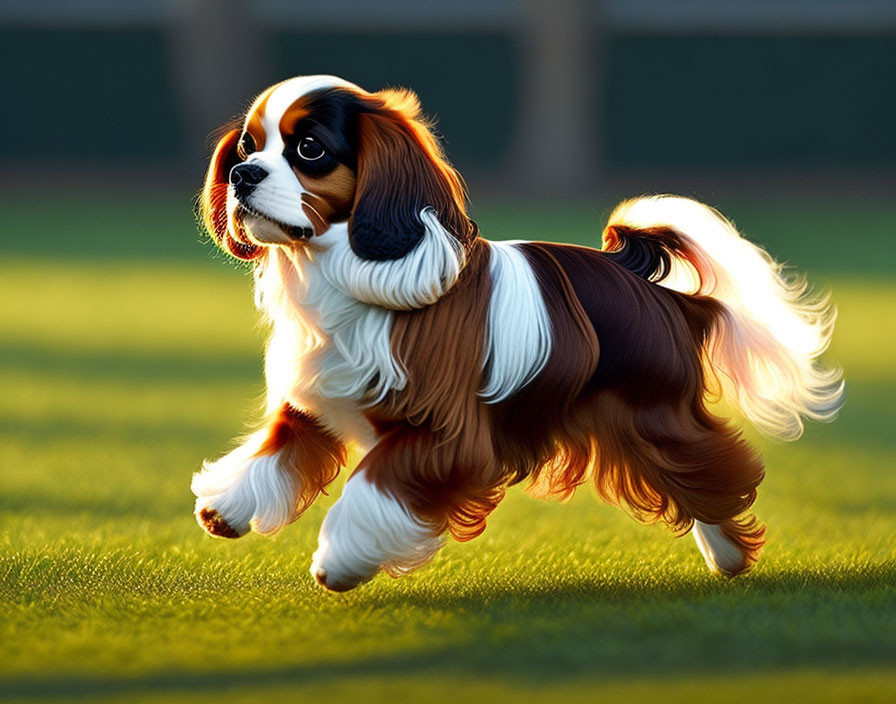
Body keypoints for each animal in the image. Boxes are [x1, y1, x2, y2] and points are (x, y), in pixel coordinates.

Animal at [191, 74, 840, 592]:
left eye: (309, 149)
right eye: (248, 146)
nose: (243, 174)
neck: (337, 270)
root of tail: (639, 274)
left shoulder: (446, 436)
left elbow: (372, 486)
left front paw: (341, 562)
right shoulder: (316, 403)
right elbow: (274, 449)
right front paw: (226, 506)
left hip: (654, 416)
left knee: (718, 469)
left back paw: (729, 554)